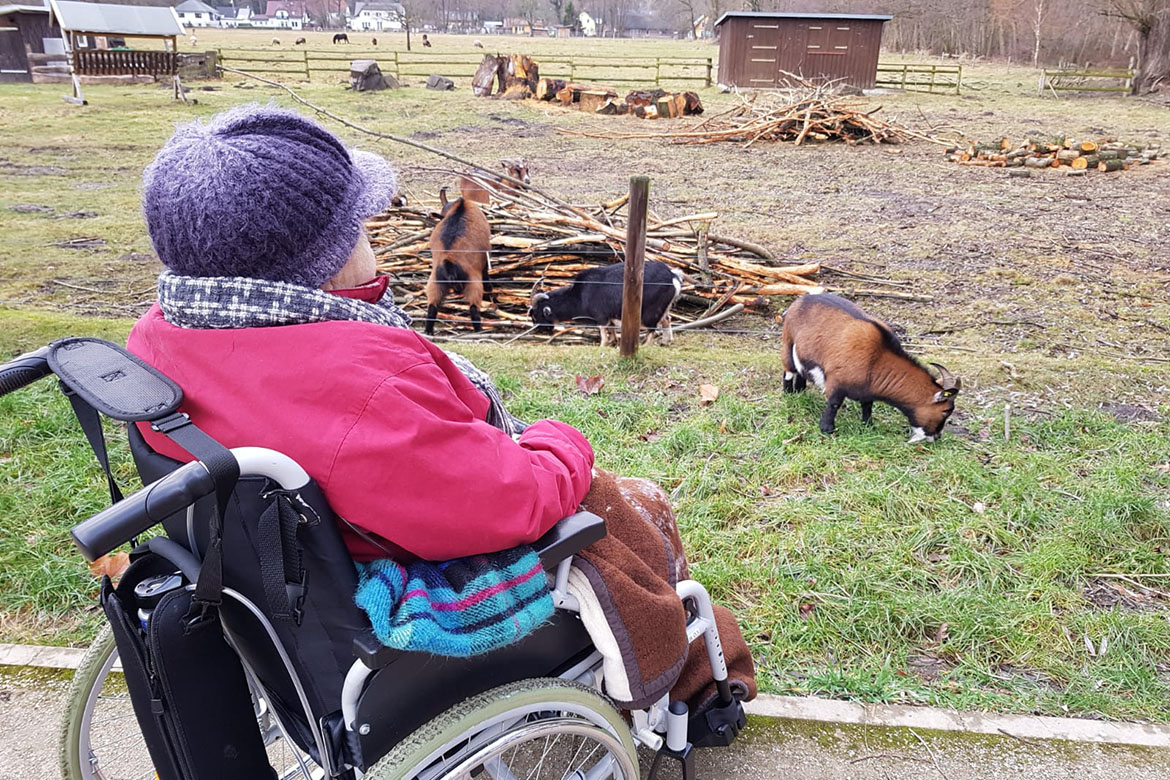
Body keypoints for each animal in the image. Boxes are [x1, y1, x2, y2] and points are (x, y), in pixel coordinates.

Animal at [425, 189, 489, 339]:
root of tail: (449, 262)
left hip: (435, 281)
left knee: (432, 307)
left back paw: (429, 331)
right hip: (473, 283)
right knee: (473, 308)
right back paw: (479, 331)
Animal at [786, 292, 959, 442]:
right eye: (946, 410)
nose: (936, 437)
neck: (876, 357)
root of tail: (801, 300)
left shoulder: (867, 390)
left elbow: (868, 406)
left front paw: (868, 425)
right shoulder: (836, 381)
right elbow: (834, 403)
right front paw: (827, 428)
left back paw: (800, 390)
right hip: (787, 341)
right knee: (789, 370)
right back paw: (788, 393)